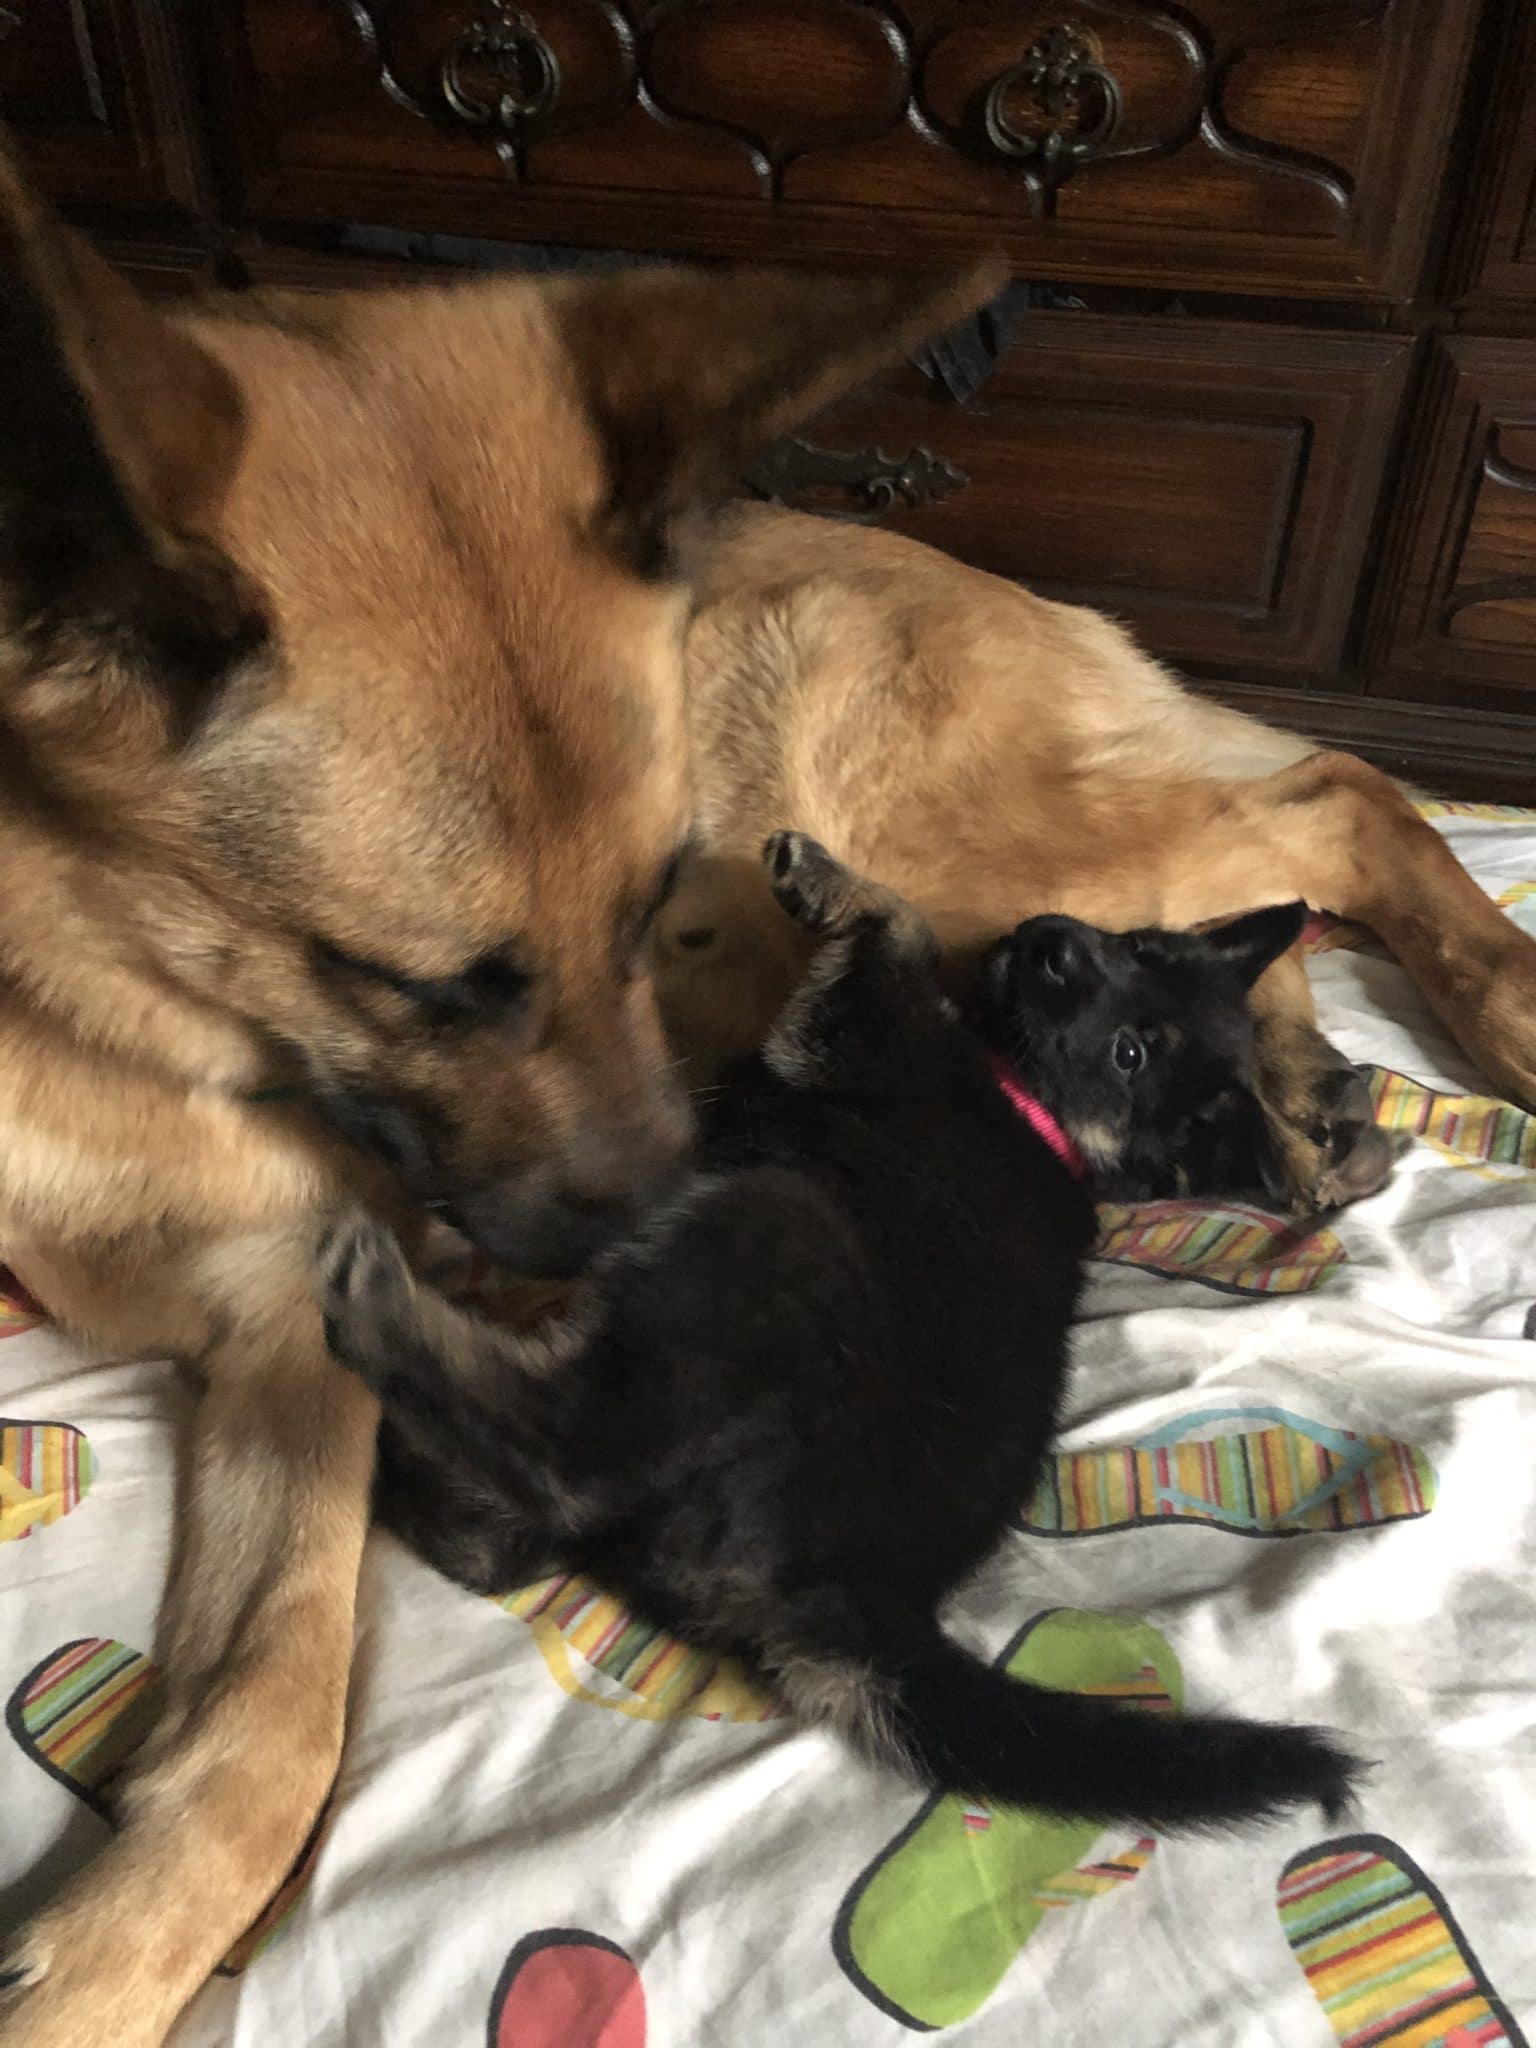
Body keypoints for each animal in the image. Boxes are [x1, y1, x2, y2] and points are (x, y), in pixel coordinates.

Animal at [319, 839, 1351, 1835]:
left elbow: (905, 933)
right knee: (499, 1539)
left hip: (772, 1226)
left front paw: (823, 876)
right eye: (1138, 950)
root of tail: (863, 1599)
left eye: (1132, 1053)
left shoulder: (851, 1036)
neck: (1037, 1106)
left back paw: (377, 1301)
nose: (1053, 941)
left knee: (558, 1457)